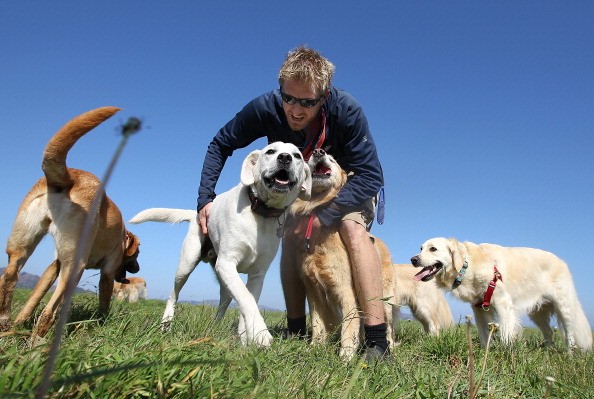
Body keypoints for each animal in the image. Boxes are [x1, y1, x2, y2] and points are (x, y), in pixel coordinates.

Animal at [0, 106, 140, 338]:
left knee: (9, 277)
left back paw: (6, 325)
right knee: (49, 311)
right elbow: (104, 301)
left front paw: (20, 322)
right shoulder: (108, 270)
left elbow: (33, 298)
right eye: (137, 254)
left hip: (20, 247)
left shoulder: (54, 265)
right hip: (75, 265)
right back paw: (39, 339)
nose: (137, 269)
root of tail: (69, 179)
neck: (122, 236)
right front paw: (102, 322)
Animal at [130, 143, 310, 346]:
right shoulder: (227, 263)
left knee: (225, 298)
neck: (260, 213)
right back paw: (166, 324)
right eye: (270, 151)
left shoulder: (257, 274)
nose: (285, 158)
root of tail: (195, 213)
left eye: (297, 156)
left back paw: (215, 327)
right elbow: (247, 299)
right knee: (173, 294)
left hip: (223, 277)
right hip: (186, 265)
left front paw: (246, 339)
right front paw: (260, 333)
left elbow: (247, 301)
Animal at [286, 148, 394, 360]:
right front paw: (314, 348)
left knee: (388, 327)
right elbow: (318, 325)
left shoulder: (346, 292)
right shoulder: (314, 293)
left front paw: (346, 356)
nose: (319, 151)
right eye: (309, 157)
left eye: (333, 159)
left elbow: (348, 327)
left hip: (385, 300)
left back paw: (387, 348)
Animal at [410, 236, 588, 352]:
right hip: (537, 312)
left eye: (433, 249)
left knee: (569, 333)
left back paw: (569, 355)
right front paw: (484, 355)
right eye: (421, 249)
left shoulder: (503, 303)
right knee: (549, 332)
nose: (413, 259)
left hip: (563, 306)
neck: (467, 265)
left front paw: (505, 356)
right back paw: (547, 352)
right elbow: (484, 335)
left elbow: (505, 335)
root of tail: (562, 262)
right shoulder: (478, 309)